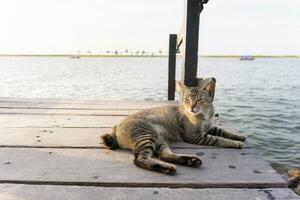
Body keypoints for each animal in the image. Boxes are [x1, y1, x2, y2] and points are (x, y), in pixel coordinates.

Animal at [101, 77, 246, 174]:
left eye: (199, 100)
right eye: (187, 100)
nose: (191, 107)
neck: (205, 115)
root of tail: (115, 126)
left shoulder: (210, 127)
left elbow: (223, 131)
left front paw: (239, 136)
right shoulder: (196, 136)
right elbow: (219, 139)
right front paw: (235, 143)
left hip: (160, 140)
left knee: (163, 156)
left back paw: (190, 161)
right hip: (148, 134)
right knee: (140, 159)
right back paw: (167, 167)